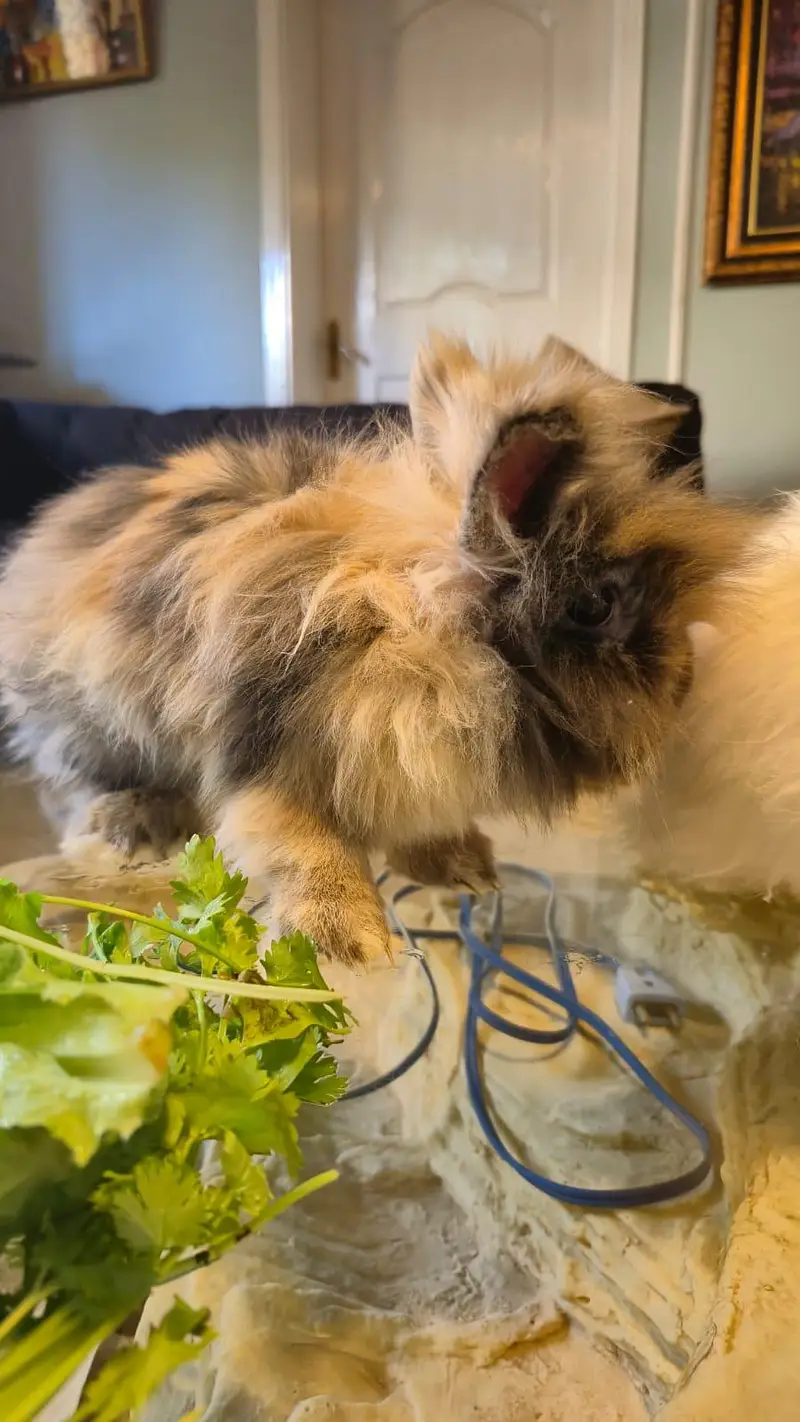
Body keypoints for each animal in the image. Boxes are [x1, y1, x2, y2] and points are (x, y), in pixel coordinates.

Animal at [0, 334, 750, 966]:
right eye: (596, 607)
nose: (686, 680)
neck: (422, 636)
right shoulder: (268, 757)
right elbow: (305, 846)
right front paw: (348, 941)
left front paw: (467, 869)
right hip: (90, 723)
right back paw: (133, 829)